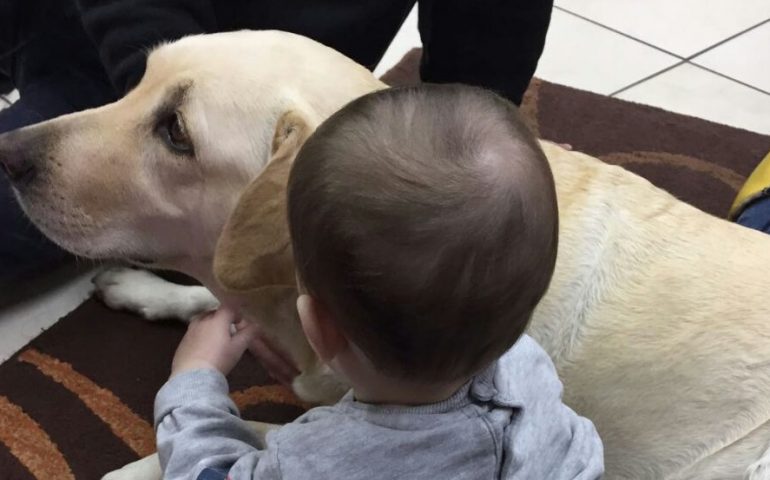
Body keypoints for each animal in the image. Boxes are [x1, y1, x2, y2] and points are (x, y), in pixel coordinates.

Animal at [1, 31, 768, 480]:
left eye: (177, 133)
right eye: (139, 81)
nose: (8, 153)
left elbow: (223, 443)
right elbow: (212, 296)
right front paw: (151, 291)